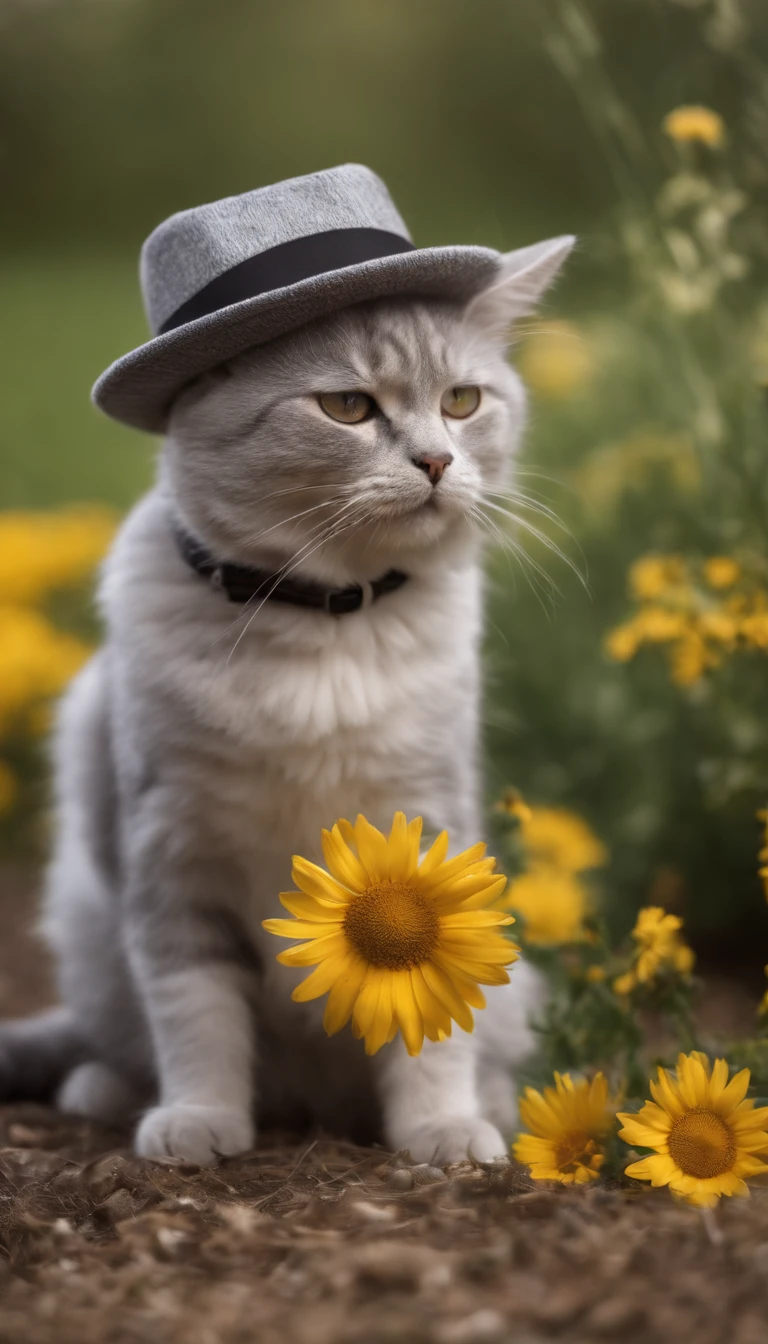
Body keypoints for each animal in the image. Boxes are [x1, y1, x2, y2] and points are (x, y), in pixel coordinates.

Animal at [0, 231, 570, 1166]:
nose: (438, 462)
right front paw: (199, 1122)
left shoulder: (427, 823)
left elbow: (431, 1028)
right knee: (118, 1039)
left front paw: (440, 1131)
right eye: (346, 407)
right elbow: (196, 1015)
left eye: (461, 401)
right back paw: (107, 1092)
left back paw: (491, 1108)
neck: (321, 624)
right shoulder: (174, 855)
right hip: (89, 926)